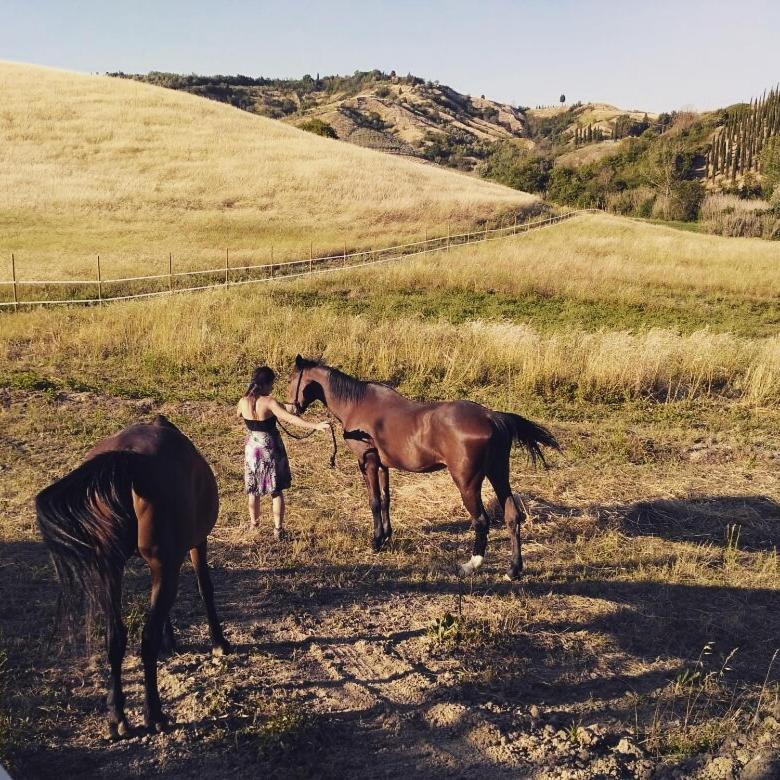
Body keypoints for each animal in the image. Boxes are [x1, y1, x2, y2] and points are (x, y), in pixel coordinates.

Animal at [36, 414, 230, 736]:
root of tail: (128, 459)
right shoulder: (195, 544)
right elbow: (206, 588)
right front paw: (218, 643)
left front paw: (172, 640)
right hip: (161, 562)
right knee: (146, 639)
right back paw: (154, 714)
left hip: (110, 568)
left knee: (115, 637)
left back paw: (117, 717)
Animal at [290, 354, 556, 580]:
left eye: (292, 381)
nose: (293, 409)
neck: (357, 404)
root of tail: (492, 416)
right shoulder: (383, 466)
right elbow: (386, 499)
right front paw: (386, 536)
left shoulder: (368, 463)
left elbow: (374, 501)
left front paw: (376, 541)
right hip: (499, 475)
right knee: (512, 517)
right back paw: (514, 570)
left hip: (468, 484)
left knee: (481, 520)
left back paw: (471, 565)